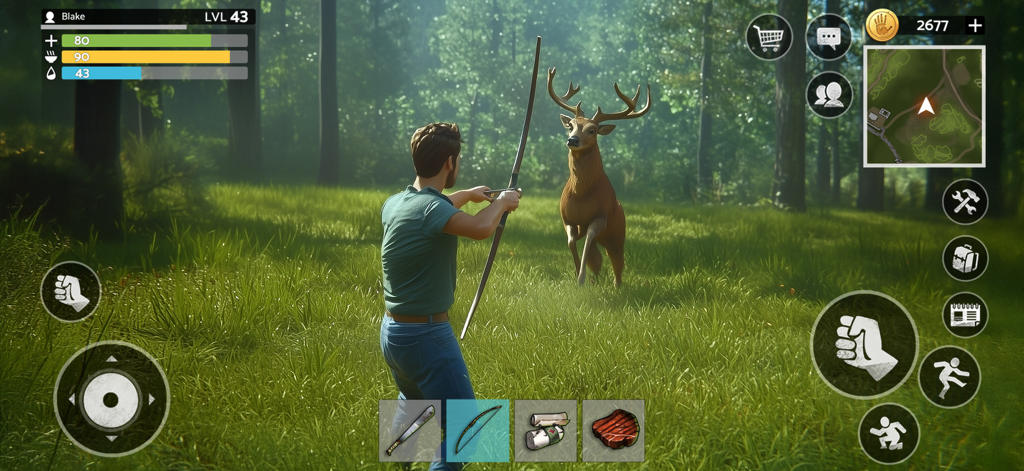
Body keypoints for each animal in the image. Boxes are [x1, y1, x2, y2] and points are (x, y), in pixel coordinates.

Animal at [546, 67, 650, 288]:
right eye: (571, 126)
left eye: (592, 130)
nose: (572, 140)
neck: (580, 193)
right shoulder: (567, 218)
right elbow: (572, 242)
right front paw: (579, 274)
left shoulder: (601, 217)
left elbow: (588, 239)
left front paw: (581, 278)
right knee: (597, 255)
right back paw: (597, 277)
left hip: (618, 234)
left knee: (618, 262)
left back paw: (616, 286)